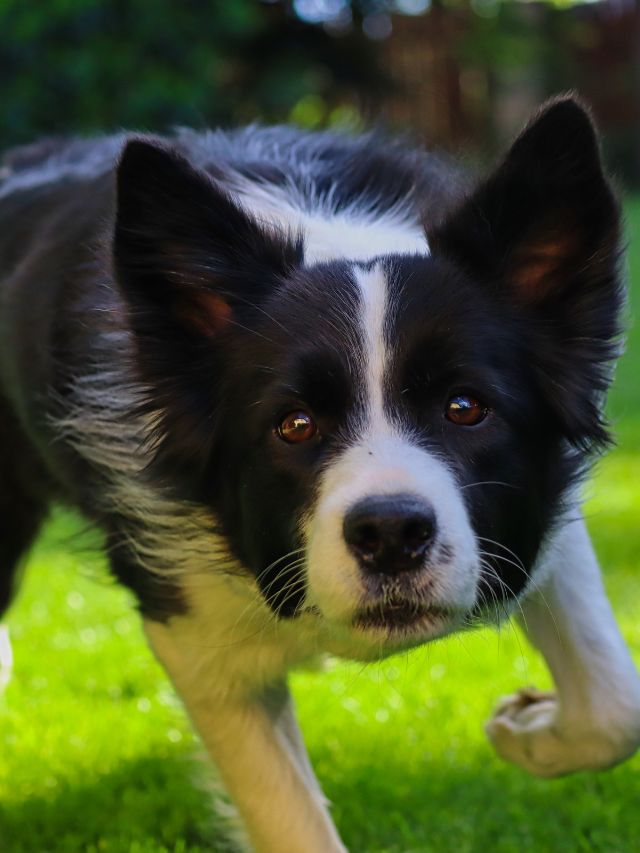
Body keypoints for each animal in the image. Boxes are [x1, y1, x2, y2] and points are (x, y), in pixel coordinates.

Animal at [1, 96, 640, 848]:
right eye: (295, 424)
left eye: (465, 407)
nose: (391, 535)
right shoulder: (191, 628)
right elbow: (290, 817)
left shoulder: (535, 514)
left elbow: (615, 704)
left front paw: (530, 731)